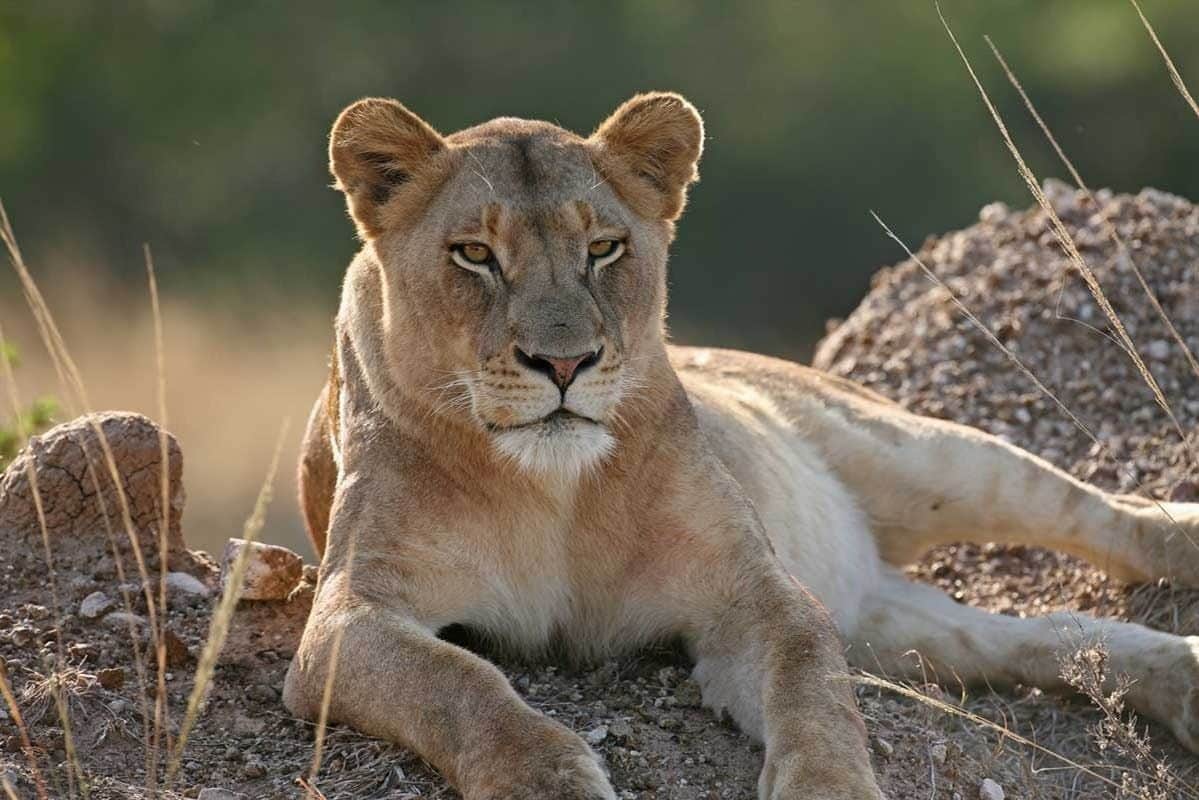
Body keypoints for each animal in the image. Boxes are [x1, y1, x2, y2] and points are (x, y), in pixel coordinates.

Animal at [283, 92, 1199, 799]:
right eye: (473, 253)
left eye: (603, 248)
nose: (564, 363)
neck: (553, 489)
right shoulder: (348, 617)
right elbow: (460, 685)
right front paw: (549, 779)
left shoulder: (750, 590)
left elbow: (809, 689)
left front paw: (828, 789)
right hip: (891, 627)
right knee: (1045, 633)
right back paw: (1180, 681)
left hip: (916, 452)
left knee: (1089, 512)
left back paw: (1180, 547)